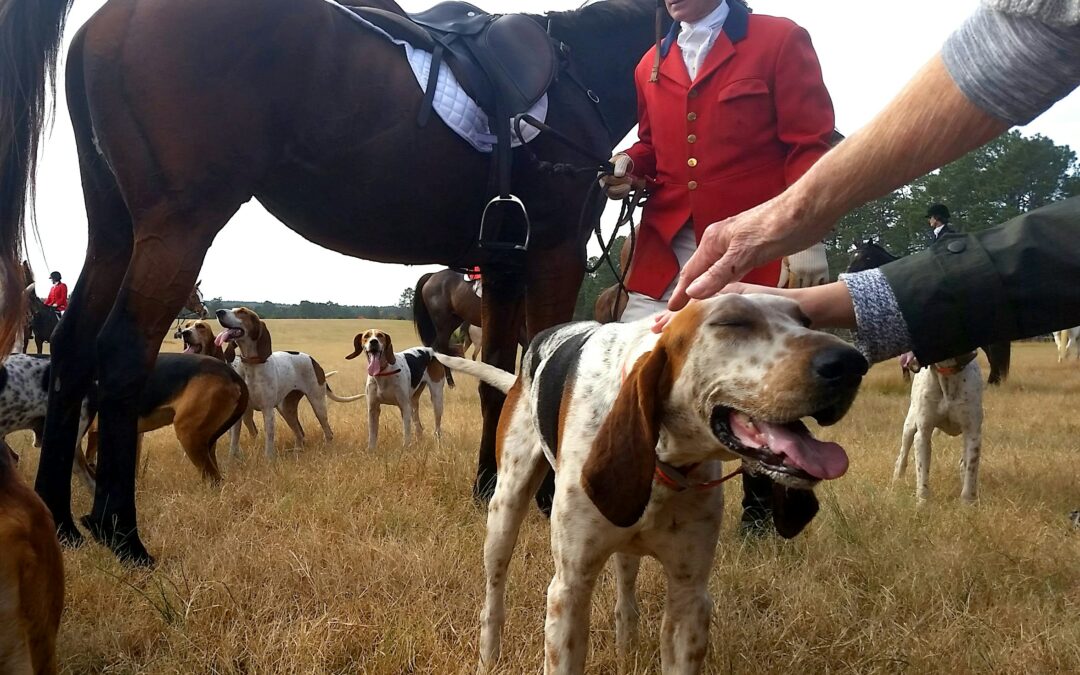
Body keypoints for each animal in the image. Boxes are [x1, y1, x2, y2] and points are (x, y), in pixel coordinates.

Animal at [217, 306, 365, 457]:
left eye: (242, 312)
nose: (219, 312)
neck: (250, 365)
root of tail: (314, 361)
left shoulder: (268, 410)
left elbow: (269, 440)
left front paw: (268, 459)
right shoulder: (240, 413)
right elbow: (234, 442)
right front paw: (232, 459)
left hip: (318, 406)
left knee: (328, 432)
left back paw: (328, 449)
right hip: (286, 409)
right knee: (299, 433)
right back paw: (297, 451)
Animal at [434, 293, 864, 673]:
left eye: (806, 320)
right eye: (732, 322)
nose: (852, 362)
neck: (666, 461)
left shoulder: (690, 596)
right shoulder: (570, 588)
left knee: (626, 594)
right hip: (505, 510)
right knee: (494, 596)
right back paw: (489, 658)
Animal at [894, 352, 980, 501]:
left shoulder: (973, 434)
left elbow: (970, 471)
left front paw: (967, 502)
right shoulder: (922, 435)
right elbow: (922, 474)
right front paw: (922, 502)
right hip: (909, 427)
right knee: (902, 457)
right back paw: (897, 480)